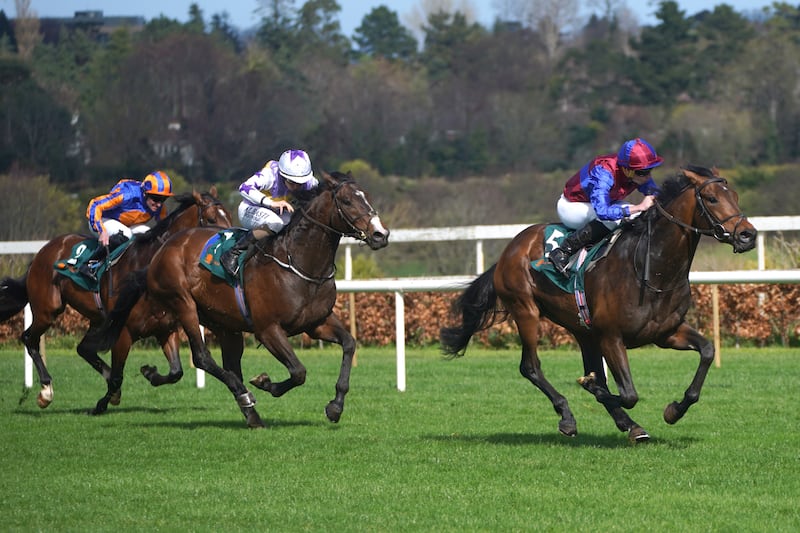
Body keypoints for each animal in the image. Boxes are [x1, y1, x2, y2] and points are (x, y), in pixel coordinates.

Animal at [0, 189, 231, 410]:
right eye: (211, 219)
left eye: (228, 216)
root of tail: (43, 251)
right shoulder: (124, 332)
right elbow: (119, 376)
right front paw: (102, 404)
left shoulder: (165, 329)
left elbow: (176, 372)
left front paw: (149, 374)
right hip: (47, 310)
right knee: (29, 338)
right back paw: (46, 391)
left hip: (98, 319)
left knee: (83, 348)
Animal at [440, 166, 760, 440]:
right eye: (712, 198)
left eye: (735, 196)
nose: (748, 235)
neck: (654, 269)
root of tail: (511, 247)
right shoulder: (611, 336)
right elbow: (627, 393)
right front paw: (591, 385)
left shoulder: (666, 332)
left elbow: (707, 351)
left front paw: (673, 410)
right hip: (525, 310)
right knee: (530, 367)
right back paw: (568, 417)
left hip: (583, 330)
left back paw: (630, 426)